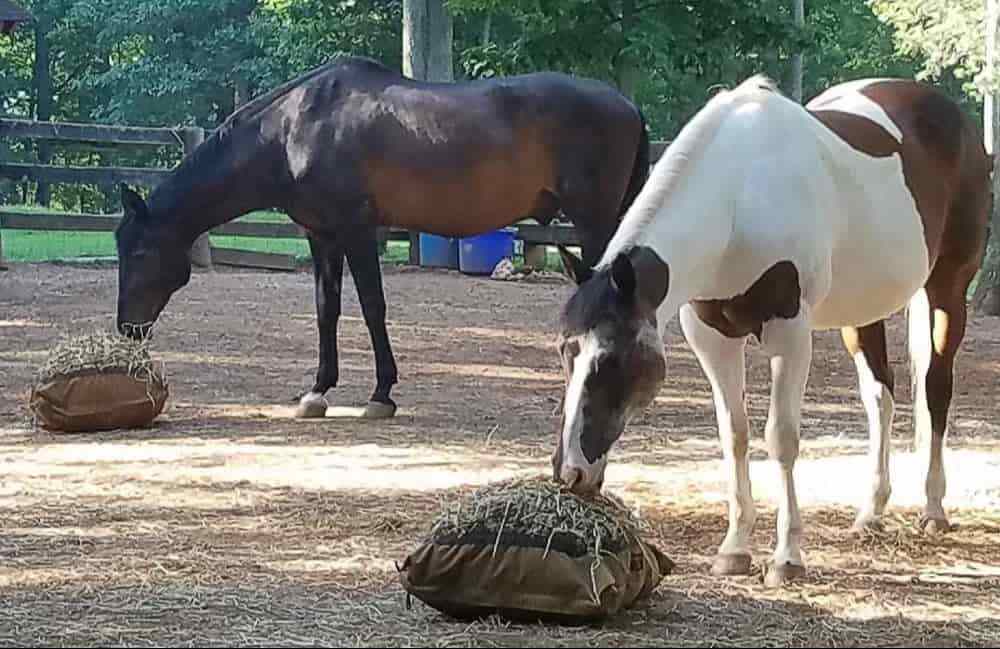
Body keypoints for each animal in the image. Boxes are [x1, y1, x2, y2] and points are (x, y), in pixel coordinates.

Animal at [115, 58, 648, 418]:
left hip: (595, 222)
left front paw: (381, 394)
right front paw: (318, 390)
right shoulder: (321, 235)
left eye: (139, 251)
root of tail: (627, 104)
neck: (293, 130)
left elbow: (372, 306)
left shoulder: (357, 230)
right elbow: (326, 309)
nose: (127, 330)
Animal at [556, 76, 992, 588]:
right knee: (879, 398)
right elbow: (735, 434)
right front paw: (734, 550)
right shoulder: (711, 335)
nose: (571, 473)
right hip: (862, 311)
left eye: (612, 358)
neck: (737, 199)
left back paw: (934, 508)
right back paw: (871, 512)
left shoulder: (789, 332)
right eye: (565, 351)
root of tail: (953, 116)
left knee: (935, 389)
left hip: (947, 289)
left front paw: (786, 558)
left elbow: (781, 439)